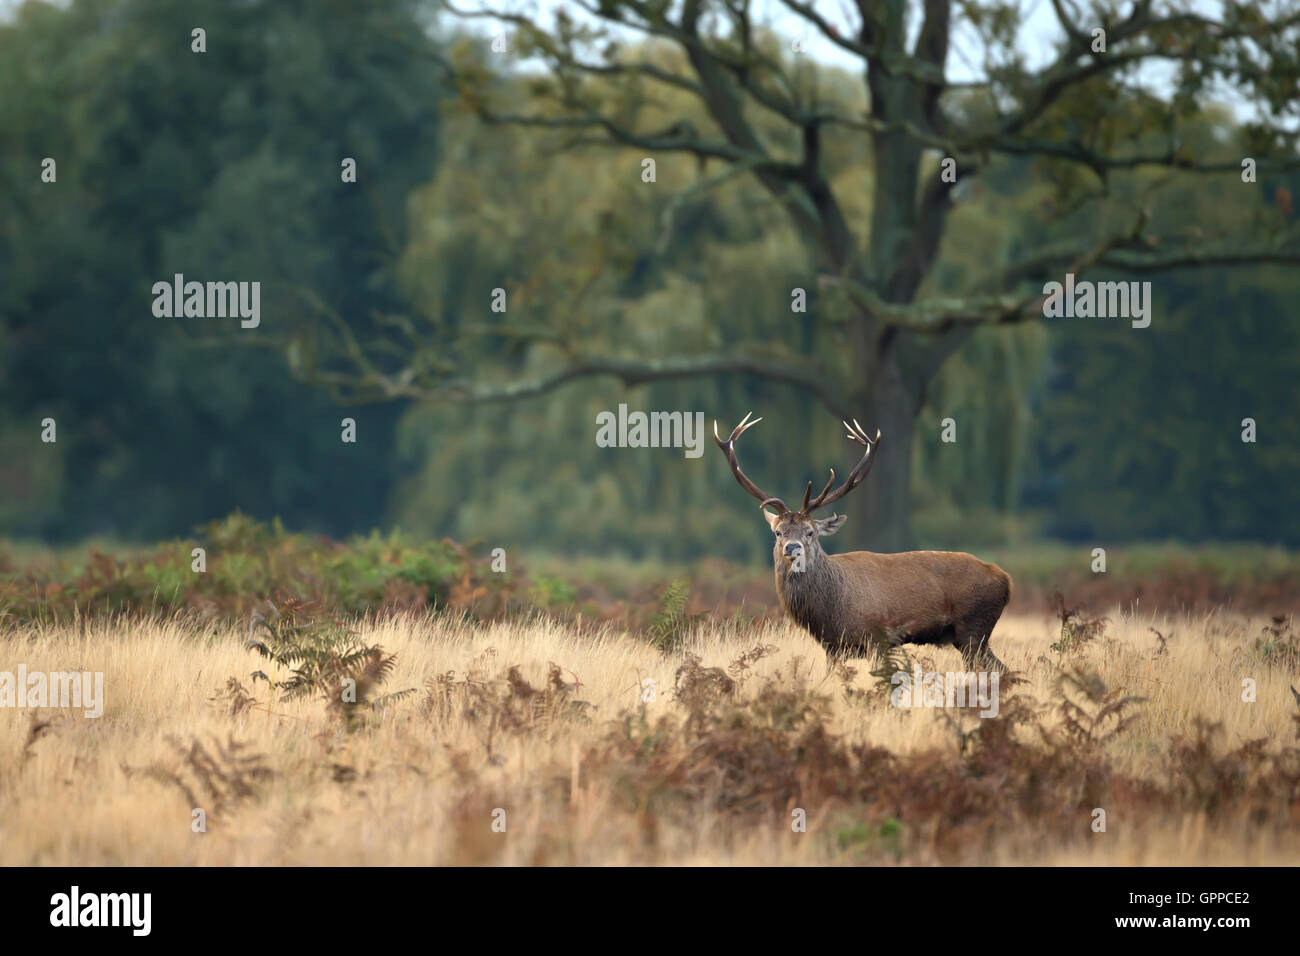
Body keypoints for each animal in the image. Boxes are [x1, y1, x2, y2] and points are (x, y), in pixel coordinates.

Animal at [714, 413, 1011, 672]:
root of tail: (1006, 580)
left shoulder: (877, 637)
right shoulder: (833, 646)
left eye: (810, 532)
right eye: (778, 532)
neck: (830, 611)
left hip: (974, 628)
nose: (793, 547)